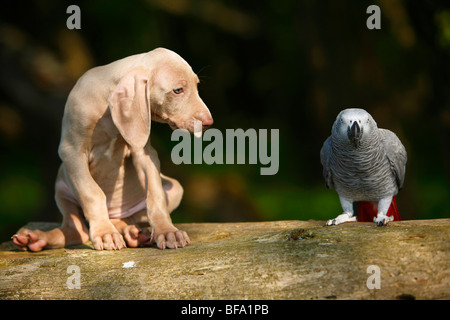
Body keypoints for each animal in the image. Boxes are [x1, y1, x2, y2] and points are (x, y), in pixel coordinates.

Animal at [12, 48, 213, 251]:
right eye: (178, 90)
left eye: (197, 86)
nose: (208, 122)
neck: (106, 110)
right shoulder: (72, 152)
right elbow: (92, 193)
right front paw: (104, 232)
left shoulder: (144, 152)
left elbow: (155, 195)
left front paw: (167, 231)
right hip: (61, 183)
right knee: (75, 229)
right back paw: (36, 238)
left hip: (175, 189)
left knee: (124, 219)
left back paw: (132, 233)